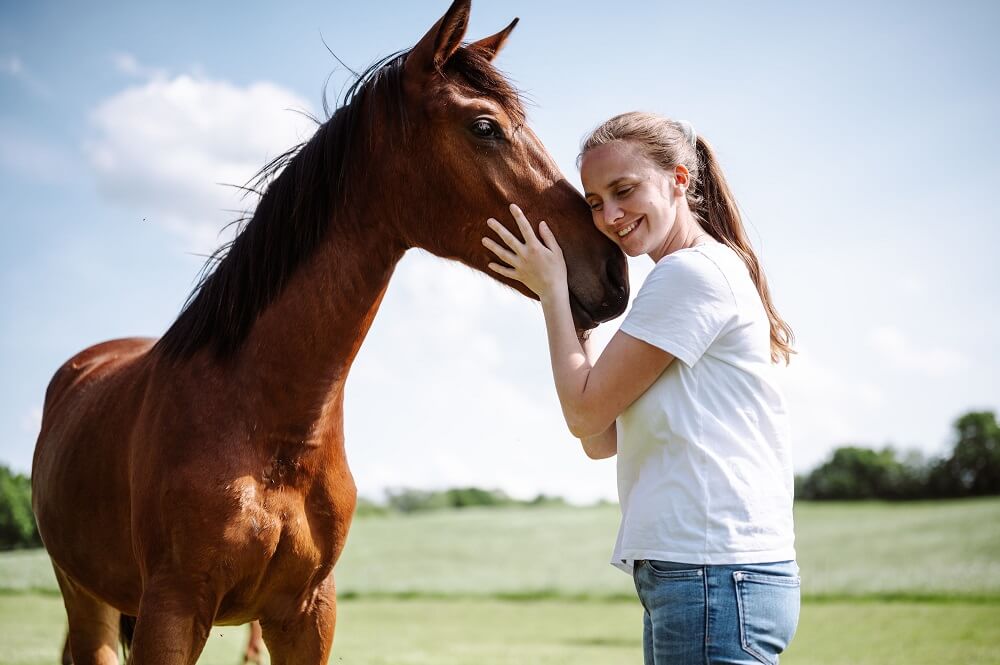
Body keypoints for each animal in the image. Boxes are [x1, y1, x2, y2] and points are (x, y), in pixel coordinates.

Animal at [35, 2, 628, 660]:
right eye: (484, 127)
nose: (614, 269)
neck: (269, 427)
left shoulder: (308, 613)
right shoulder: (173, 612)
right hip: (86, 599)